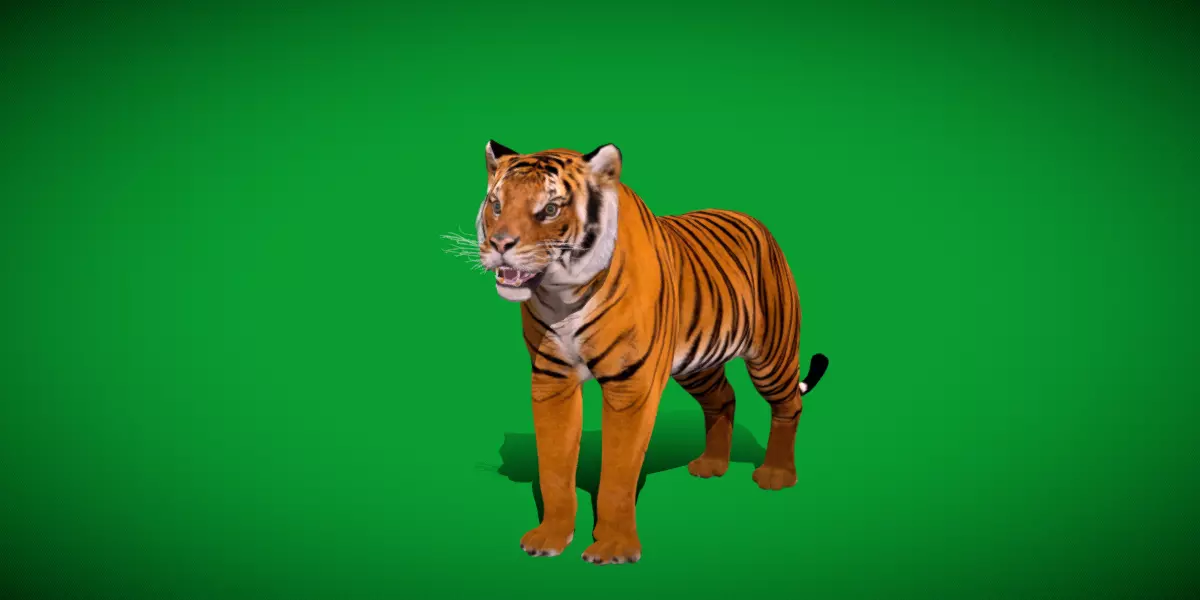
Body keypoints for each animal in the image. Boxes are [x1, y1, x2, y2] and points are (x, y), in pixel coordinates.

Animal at [475, 140, 830, 565]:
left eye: (550, 209)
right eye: (496, 204)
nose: (500, 245)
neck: (562, 295)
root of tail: (756, 221)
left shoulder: (631, 385)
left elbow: (618, 471)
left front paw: (613, 547)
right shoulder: (551, 378)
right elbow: (554, 466)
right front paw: (550, 537)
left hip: (771, 355)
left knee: (789, 404)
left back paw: (777, 474)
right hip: (698, 367)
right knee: (724, 399)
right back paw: (711, 465)